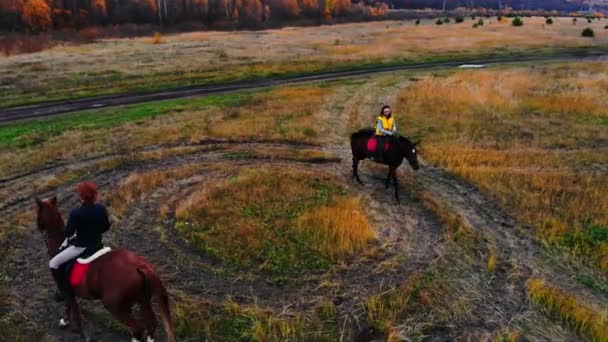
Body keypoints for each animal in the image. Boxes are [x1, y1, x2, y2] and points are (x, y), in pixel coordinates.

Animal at [35, 196, 175, 340]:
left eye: (38, 213)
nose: (38, 227)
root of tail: (141, 266)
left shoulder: (67, 290)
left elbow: (73, 310)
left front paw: (77, 331)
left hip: (116, 307)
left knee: (138, 328)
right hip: (143, 300)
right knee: (151, 324)